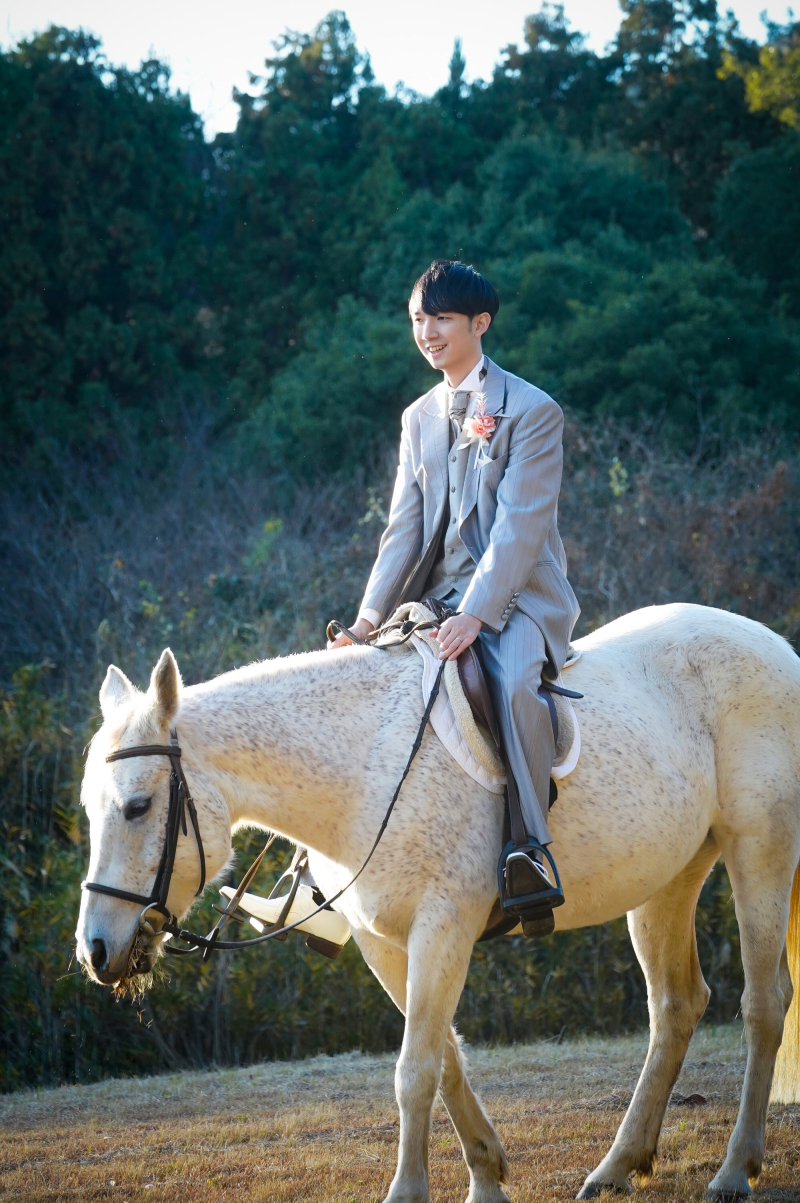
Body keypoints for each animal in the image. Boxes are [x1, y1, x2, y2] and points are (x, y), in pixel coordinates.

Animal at [75, 602, 800, 1202]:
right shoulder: (383, 942)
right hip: (667, 880)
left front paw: (411, 1191)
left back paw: (734, 1171)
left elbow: (415, 1068)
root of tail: (774, 646)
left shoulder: (443, 927)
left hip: (760, 849)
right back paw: (617, 1167)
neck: (364, 765)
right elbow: (444, 1057)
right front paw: (488, 1176)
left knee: (763, 1003)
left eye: (137, 806)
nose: (96, 950)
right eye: (89, 806)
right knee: (677, 1006)